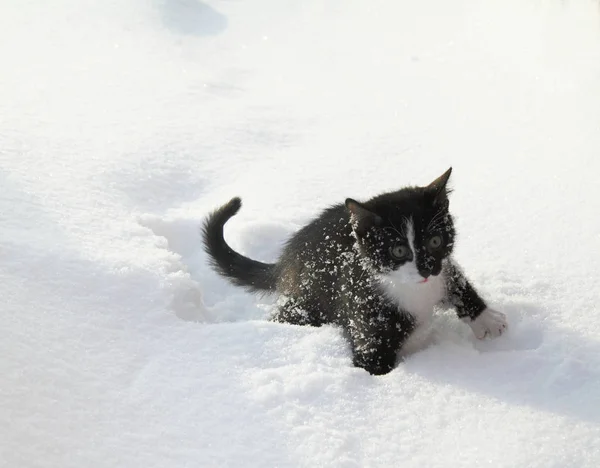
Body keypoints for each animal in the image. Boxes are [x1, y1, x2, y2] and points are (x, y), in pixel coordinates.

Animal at [202, 166, 506, 374]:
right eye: (398, 251)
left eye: (435, 241)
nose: (426, 270)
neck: (410, 289)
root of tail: (286, 260)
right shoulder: (365, 312)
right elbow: (372, 361)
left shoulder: (444, 268)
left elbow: (457, 280)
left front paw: (486, 319)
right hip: (309, 301)